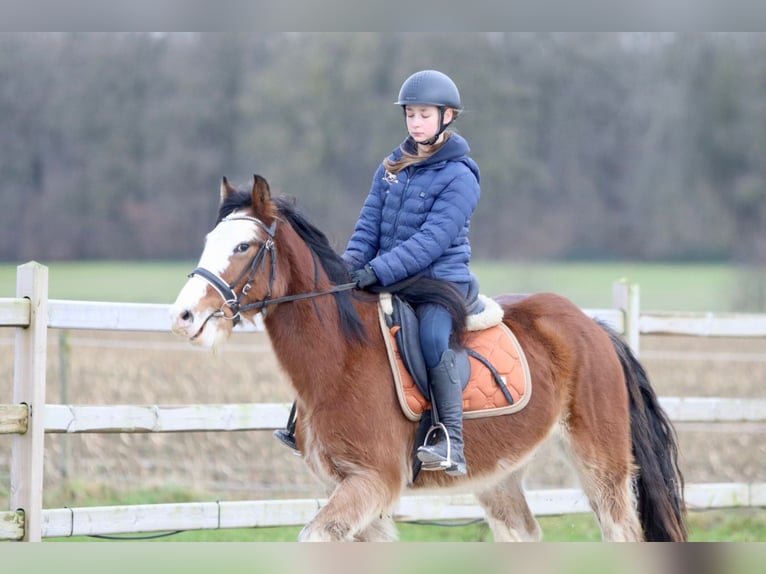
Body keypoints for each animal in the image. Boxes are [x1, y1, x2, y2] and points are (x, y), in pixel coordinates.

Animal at [171, 176, 688, 544]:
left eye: (243, 246)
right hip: (499, 475)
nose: (183, 316)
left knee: (621, 530)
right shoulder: (356, 492)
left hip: (602, 465)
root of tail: (593, 327)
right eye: (209, 241)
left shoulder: (372, 483)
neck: (340, 360)